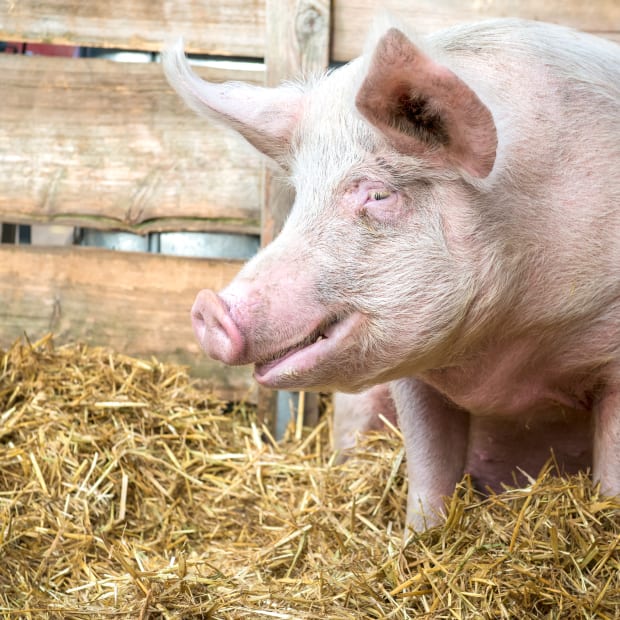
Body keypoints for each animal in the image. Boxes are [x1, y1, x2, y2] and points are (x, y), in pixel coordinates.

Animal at [162, 17, 616, 532]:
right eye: (301, 196)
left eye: (378, 195)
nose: (207, 308)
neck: (503, 360)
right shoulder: (410, 372)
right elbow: (428, 470)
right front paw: (420, 537)